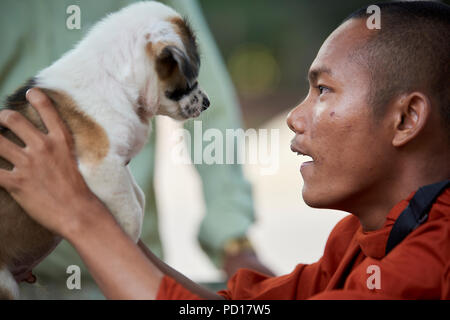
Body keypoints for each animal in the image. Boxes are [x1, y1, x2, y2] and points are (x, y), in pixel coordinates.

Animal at [0, 1, 210, 298]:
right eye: (190, 78)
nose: (207, 103)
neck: (116, 79)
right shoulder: (101, 165)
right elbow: (132, 209)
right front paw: (127, 242)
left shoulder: (118, 160)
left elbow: (138, 195)